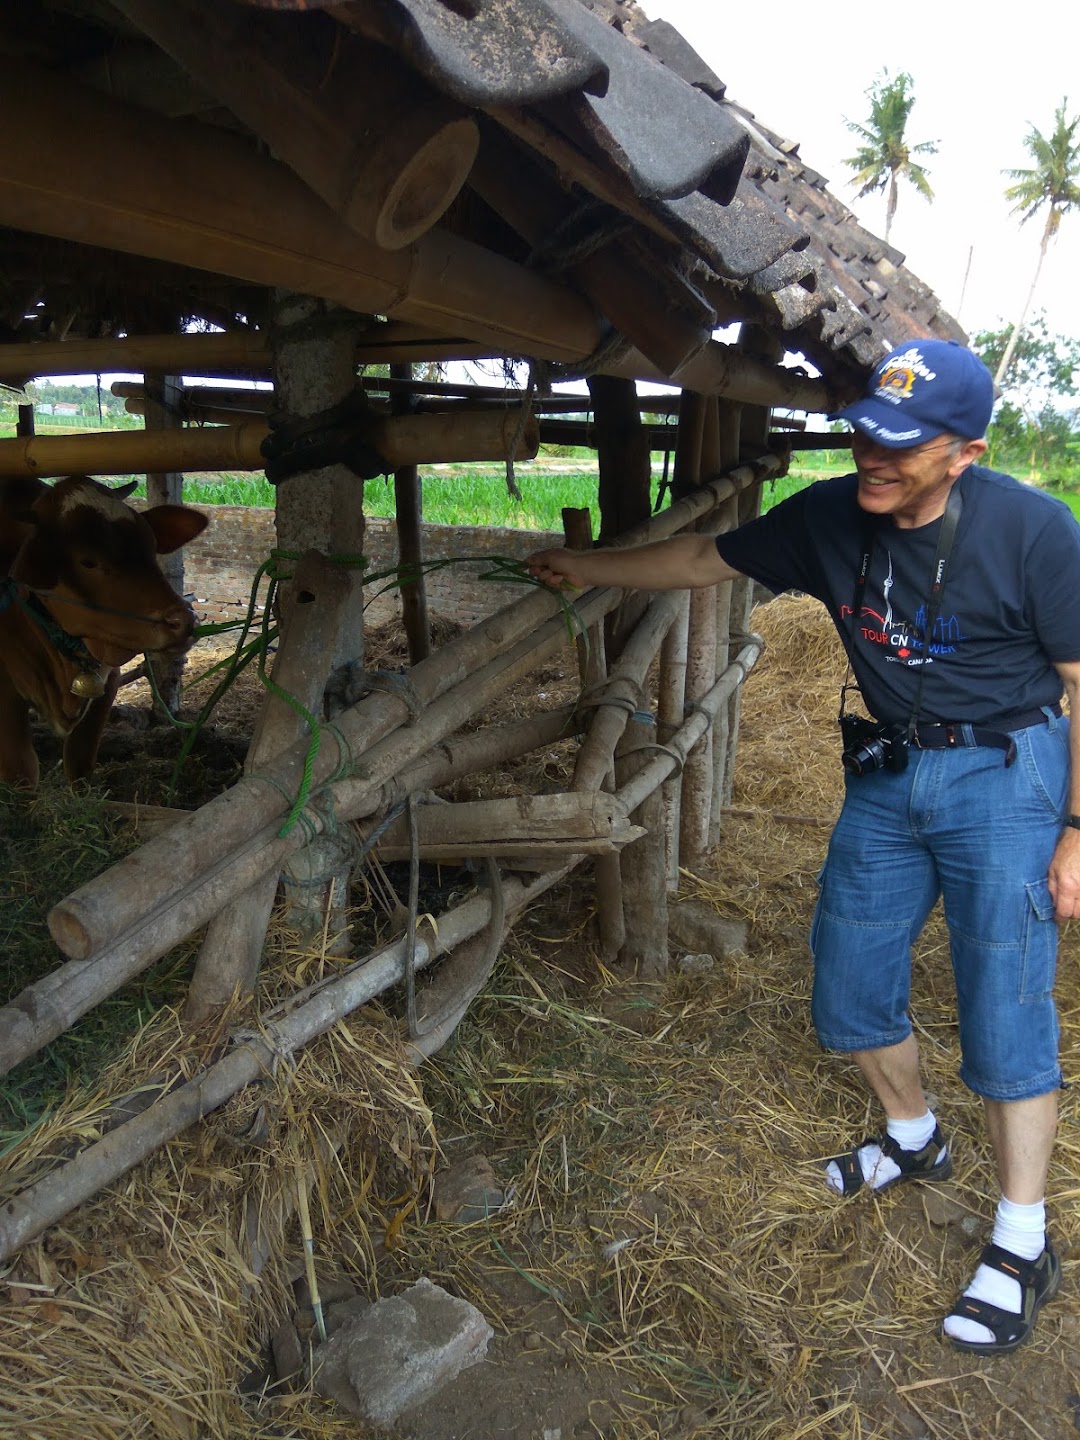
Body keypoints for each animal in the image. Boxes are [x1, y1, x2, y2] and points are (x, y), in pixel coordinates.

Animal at [0, 475, 208, 789]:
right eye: (88, 561)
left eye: (151, 547)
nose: (183, 621)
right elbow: (21, 772)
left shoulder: (107, 682)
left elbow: (80, 763)